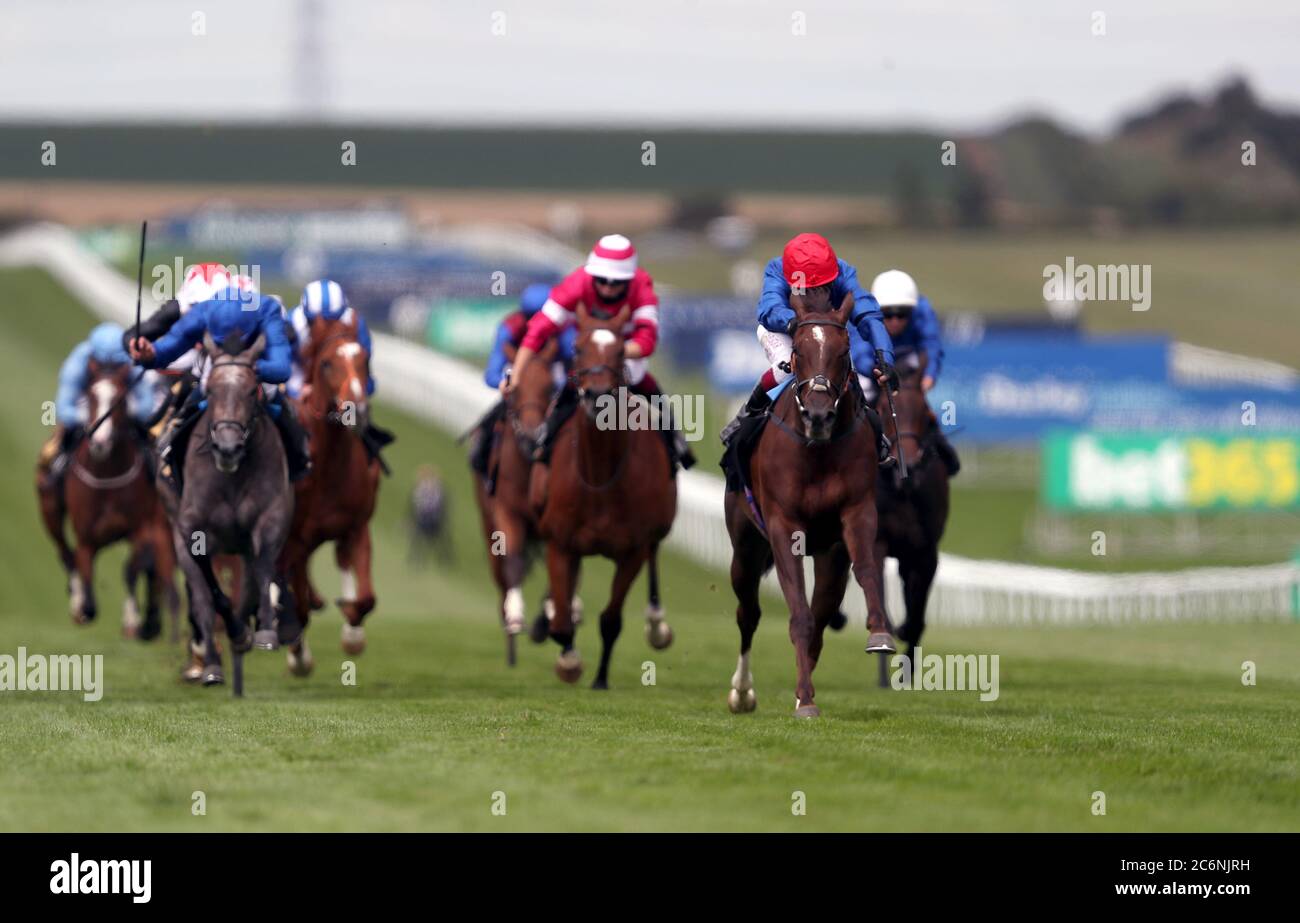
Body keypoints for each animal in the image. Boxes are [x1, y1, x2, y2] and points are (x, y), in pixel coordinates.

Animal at [37, 361, 176, 644]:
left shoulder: (142, 528)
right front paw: (82, 605)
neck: (107, 475)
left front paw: (133, 620)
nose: (100, 442)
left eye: (120, 400)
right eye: (90, 396)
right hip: (50, 508)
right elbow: (85, 571)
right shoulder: (86, 536)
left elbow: (133, 569)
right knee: (65, 552)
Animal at [167, 332, 297, 696]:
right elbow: (210, 595)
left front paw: (265, 630)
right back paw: (212, 665)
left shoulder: (271, 517)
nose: (228, 448)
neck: (231, 477)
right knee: (201, 599)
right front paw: (235, 636)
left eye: (252, 390)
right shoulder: (190, 529)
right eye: (210, 390)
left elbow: (264, 568)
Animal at [282, 314, 382, 676]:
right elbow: (296, 605)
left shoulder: (357, 526)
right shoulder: (294, 537)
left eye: (364, 359)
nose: (357, 410)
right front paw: (299, 657)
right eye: (326, 363)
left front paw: (352, 631)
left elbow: (366, 598)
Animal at [538, 306, 681, 691]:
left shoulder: (633, 550)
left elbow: (611, 620)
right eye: (576, 348)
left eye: (620, 351)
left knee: (655, 558)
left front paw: (600, 679)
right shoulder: (559, 542)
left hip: (659, 528)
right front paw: (569, 661)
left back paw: (657, 624)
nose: (597, 394)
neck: (599, 479)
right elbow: (561, 625)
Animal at [722, 292, 894, 717]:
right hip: (745, 548)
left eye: (844, 350)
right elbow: (798, 614)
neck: (817, 449)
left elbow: (866, 571)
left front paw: (879, 633)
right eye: (798, 350)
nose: (818, 415)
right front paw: (805, 701)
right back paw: (742, 692)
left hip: (830, 558)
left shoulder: (856, 513)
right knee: (748, 613)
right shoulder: (784, 526)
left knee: (822, 614)